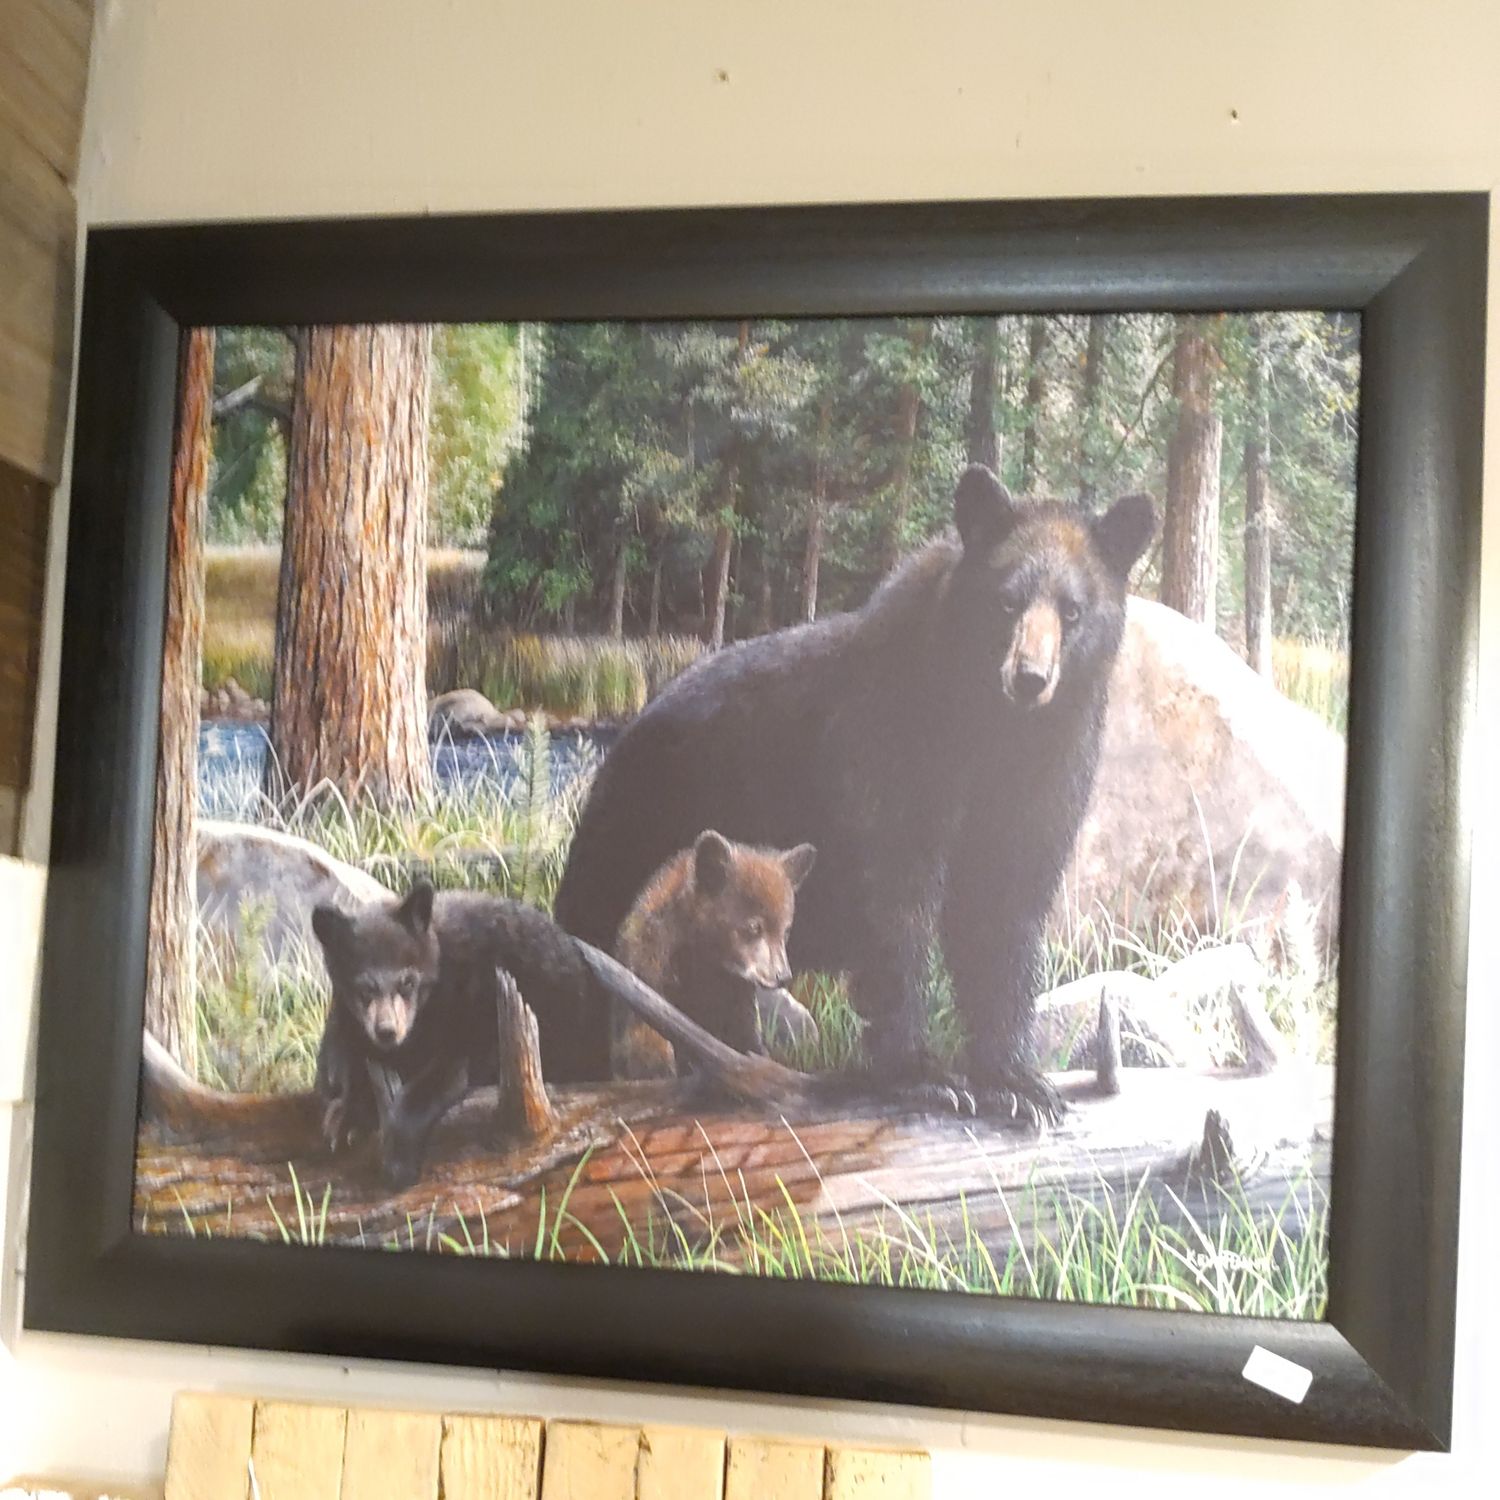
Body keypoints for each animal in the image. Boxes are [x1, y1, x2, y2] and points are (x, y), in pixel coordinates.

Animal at [311, 880, 611, 1187]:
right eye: (364, 988)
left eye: (407, 982)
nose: (387, 1031)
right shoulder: (348, 1021)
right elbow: (343, 1063)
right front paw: (346, 1119)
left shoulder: (471, 999)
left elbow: (452, 1066)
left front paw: (398, 1159)